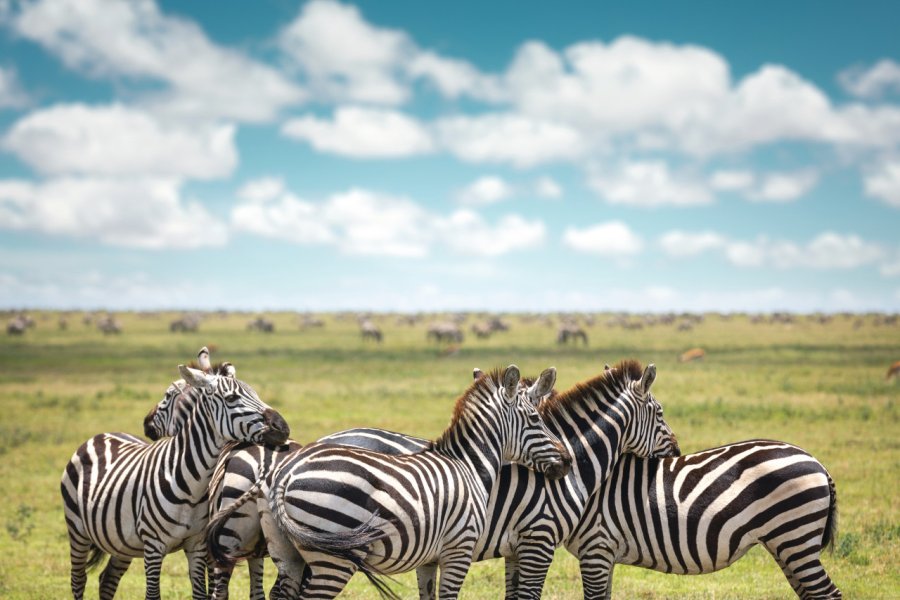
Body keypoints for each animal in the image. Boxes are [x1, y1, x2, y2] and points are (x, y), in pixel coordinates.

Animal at [59, 346, 290, 600]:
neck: (192, 484)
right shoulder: (154, 546)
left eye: (168, 395)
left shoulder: (197, 545)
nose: (283, 427)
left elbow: (201, 593)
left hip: (121, 541)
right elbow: (154, 595)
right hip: (77, 529)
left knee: (107, 579)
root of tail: (102, 435)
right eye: (231, 398)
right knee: (78, 580)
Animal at [246, 366, 568, 600]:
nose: (566, 462)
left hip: (286, 553)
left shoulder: (429, 558)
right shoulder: (459, 549)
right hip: (332, 558)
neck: (469, 466)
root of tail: (286, 474)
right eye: (536, 418)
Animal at [568, 438, 840, 596]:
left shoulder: (596, 546)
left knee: (827, 593)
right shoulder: (605, 553)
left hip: (795, 537)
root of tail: (817, 463)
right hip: (786, 545)